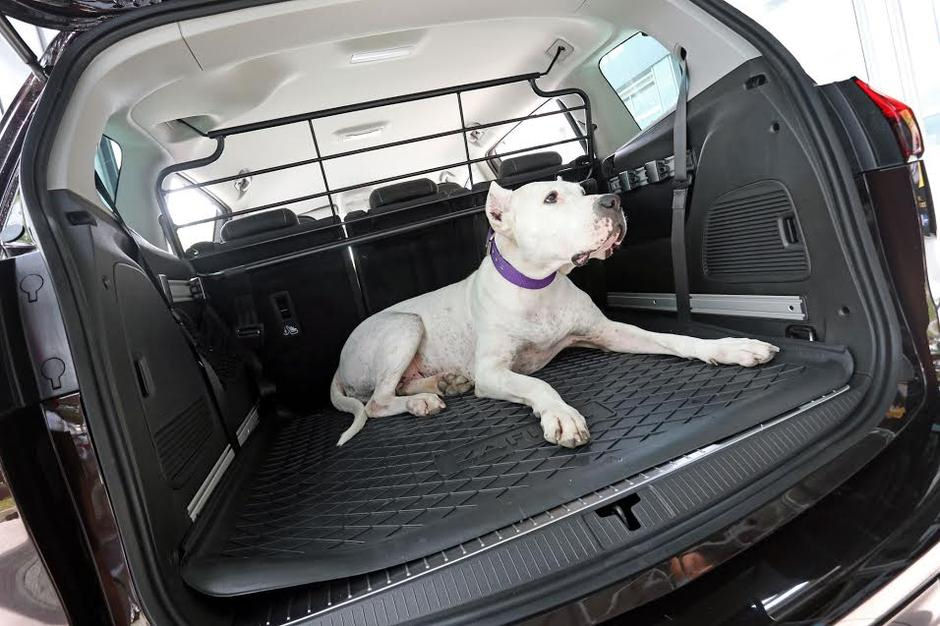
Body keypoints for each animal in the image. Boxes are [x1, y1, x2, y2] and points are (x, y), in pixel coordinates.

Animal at [330, 178, 780, 446]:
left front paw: (730, 348)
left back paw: (445, 383)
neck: (538, 286)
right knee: (377, 401)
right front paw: (561, 415)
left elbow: (674, 338)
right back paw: (422, 402)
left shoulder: (609, 333)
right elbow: (538, 385)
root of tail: (338, 364)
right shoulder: (493, 372)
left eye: (583, 190)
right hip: (404, 326)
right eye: (550, 198)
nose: (613, 200)